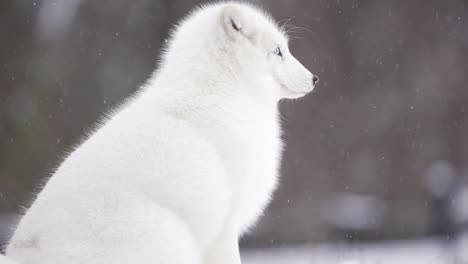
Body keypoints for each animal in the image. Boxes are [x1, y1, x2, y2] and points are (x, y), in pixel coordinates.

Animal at [0, 2, 318, 264]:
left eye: (286, 48)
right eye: (278, 51)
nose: (315, 78)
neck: (222, 93)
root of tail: (19, 255)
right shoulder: (224, 228)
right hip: (172, 235)